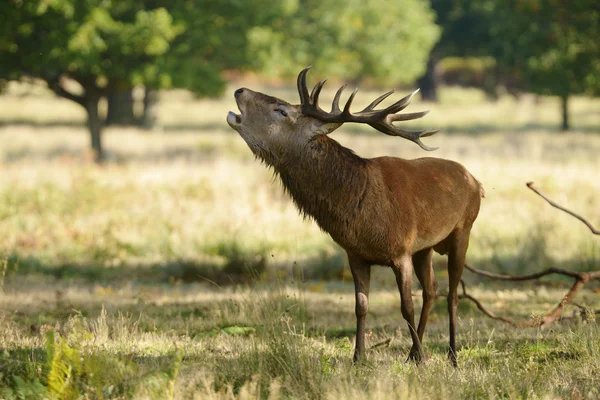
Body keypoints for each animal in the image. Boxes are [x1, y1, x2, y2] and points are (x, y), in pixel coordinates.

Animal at [225, 68, 482, 366]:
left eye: (281, 110)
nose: (240, 90)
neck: (360, 212)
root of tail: (476, 181)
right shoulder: (356, 254)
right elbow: (361, 306)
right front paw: (358, 358)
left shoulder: (401, 250)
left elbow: (405, 306)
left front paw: (423, 357)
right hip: (425, 247)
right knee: (431, 289)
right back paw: (412, 354)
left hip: (463, 230)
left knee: (452, 294)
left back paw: (450, 355)